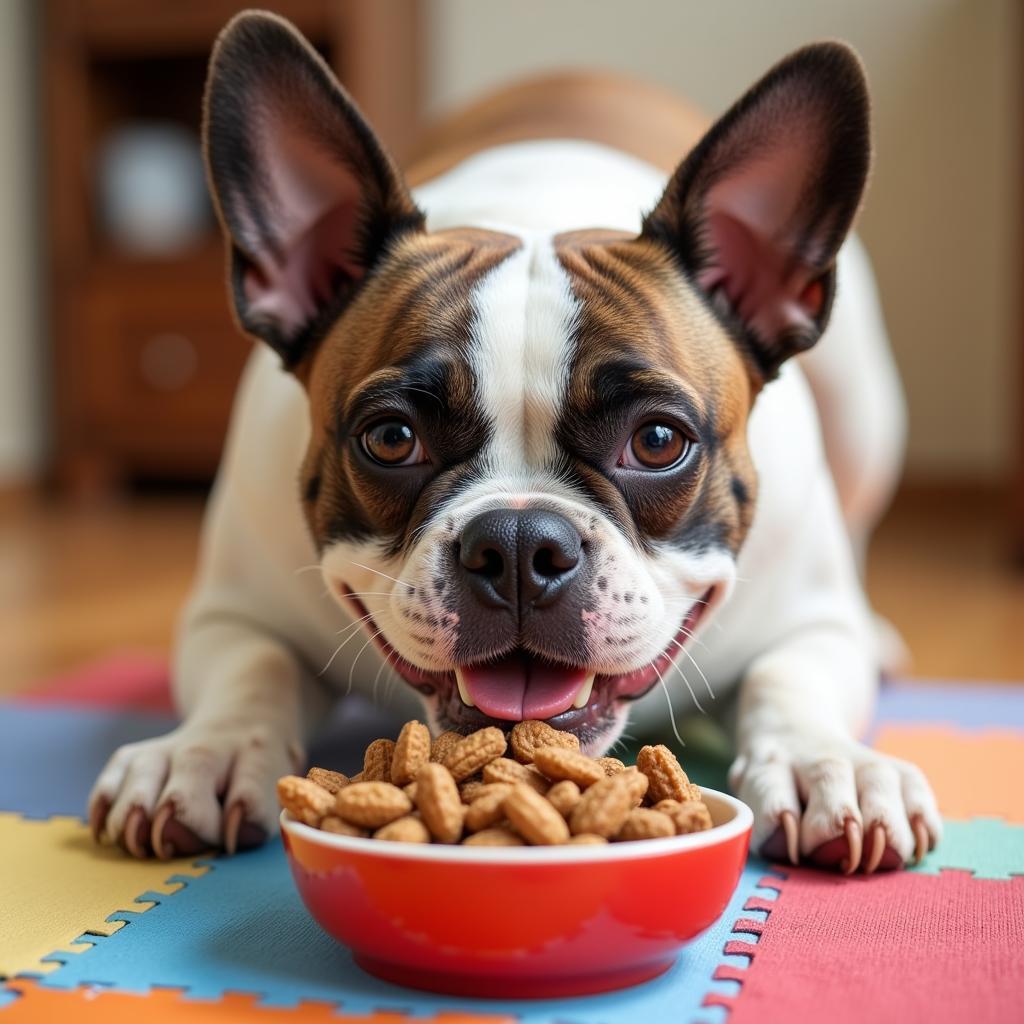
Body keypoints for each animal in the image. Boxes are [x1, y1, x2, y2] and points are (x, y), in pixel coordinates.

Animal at [88, 9, 937, 872]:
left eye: (658, 442)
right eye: (389, 439)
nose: (521, 542)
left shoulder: (810, 626)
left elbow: (786, 682)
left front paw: (824, 762)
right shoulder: (233, 614)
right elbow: (253, 667)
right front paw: (204, 752)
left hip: (865, 409)